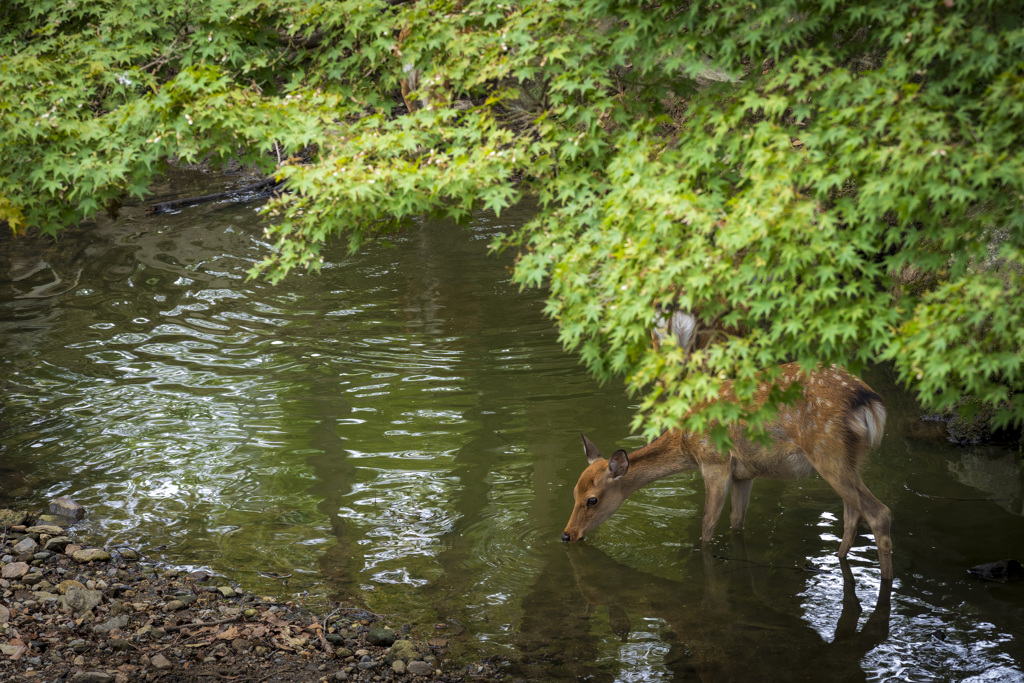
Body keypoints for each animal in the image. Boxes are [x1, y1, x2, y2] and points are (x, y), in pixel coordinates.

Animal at [565, 362, 892, 581]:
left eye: (592, 499)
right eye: (574, 492)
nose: (567, 535)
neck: (685, 444)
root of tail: (868, 401)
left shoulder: (715, 463)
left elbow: (707, 526)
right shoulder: (743, 475)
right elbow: (736, 522)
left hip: (827, 451)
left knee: (879, 512)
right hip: (851, 458)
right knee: (853, 514)